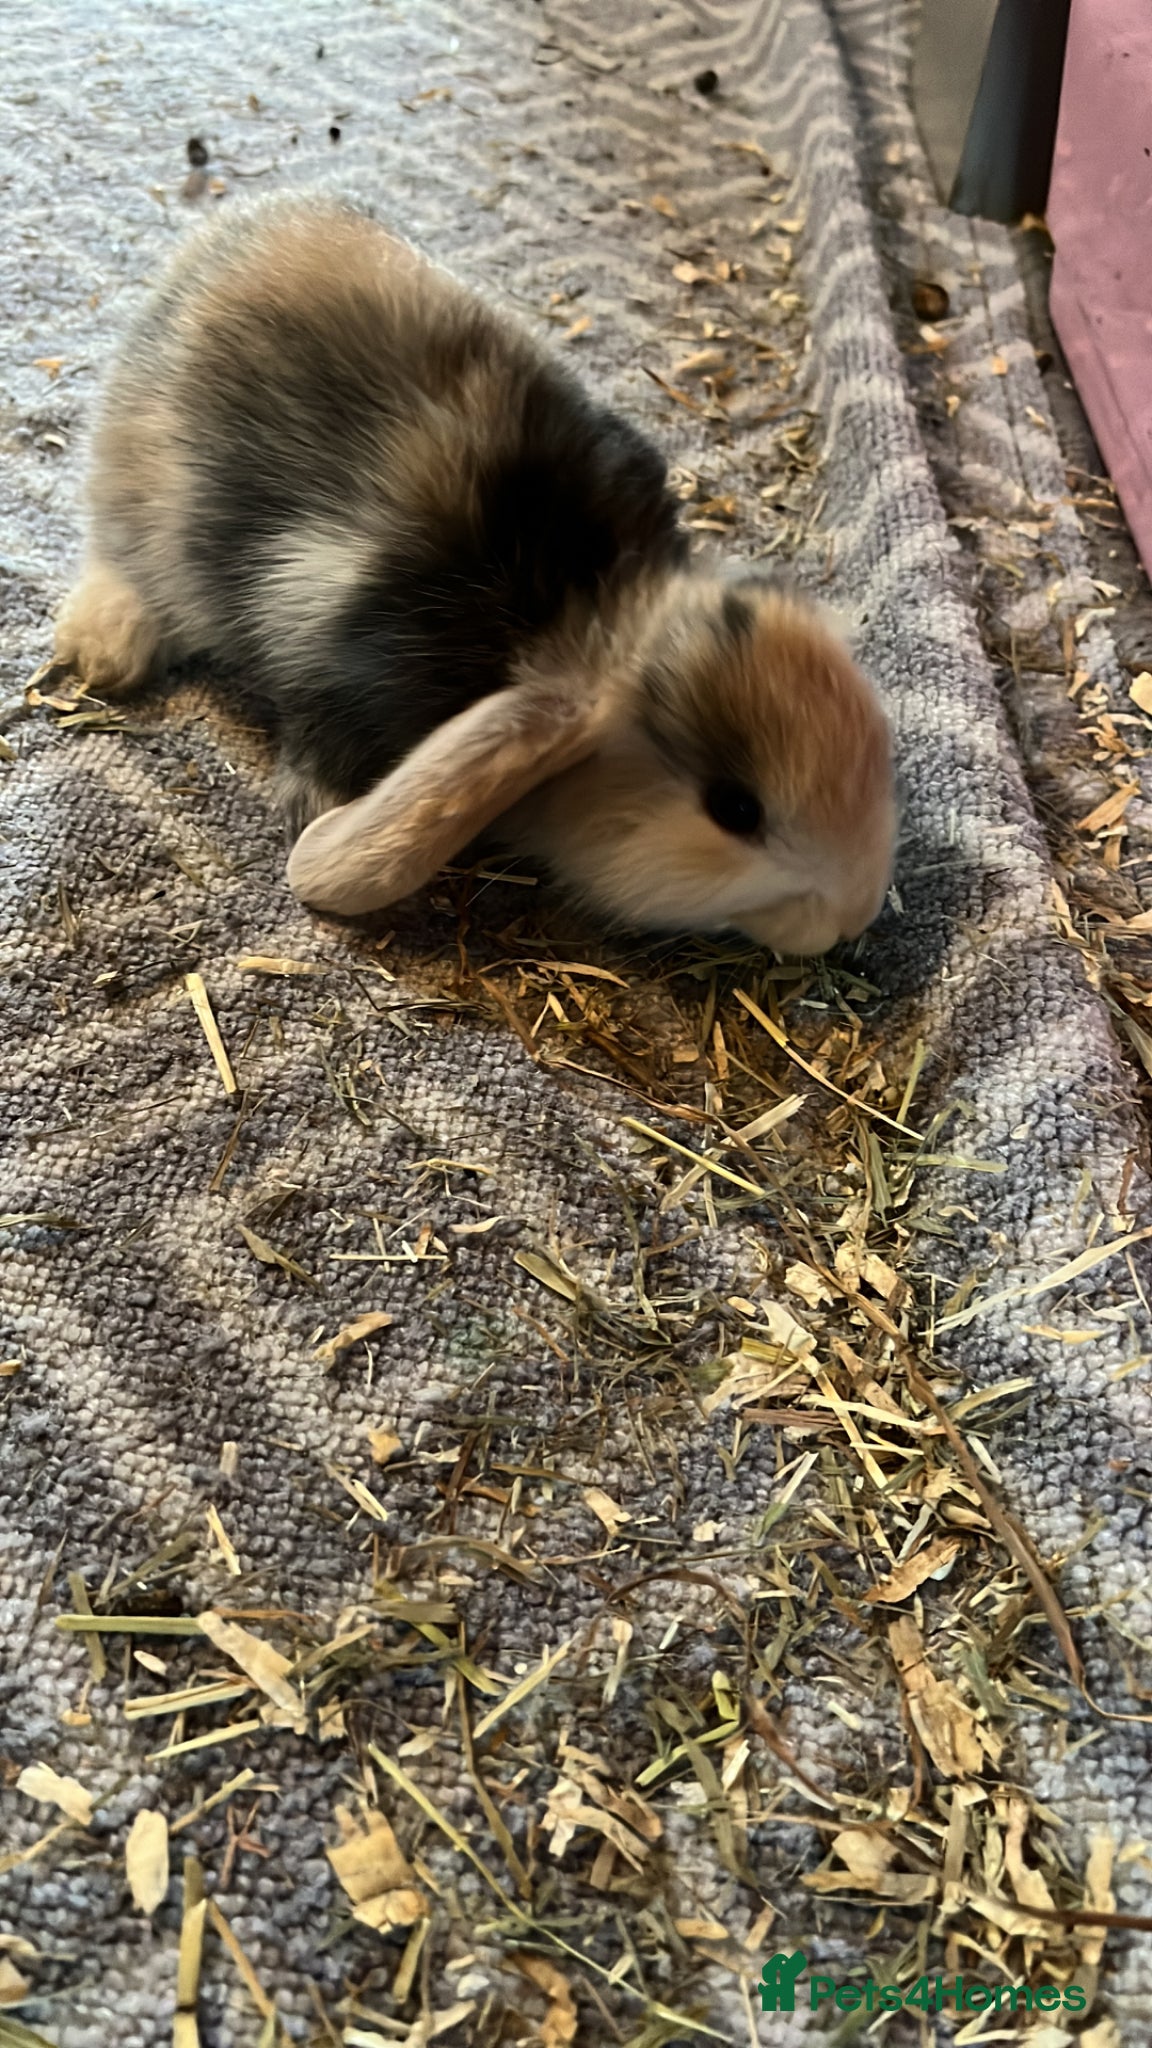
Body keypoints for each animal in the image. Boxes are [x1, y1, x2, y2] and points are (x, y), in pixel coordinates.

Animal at [54, 193, 896, 956]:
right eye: (736, 809)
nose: (854, 915)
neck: (579, 616)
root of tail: (220, 244)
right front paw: (314, 820)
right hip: (146, 495)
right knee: (115, 556)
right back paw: (105, 650)